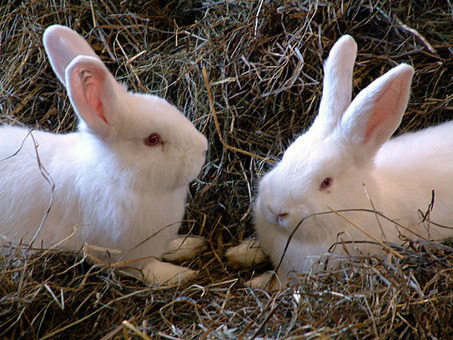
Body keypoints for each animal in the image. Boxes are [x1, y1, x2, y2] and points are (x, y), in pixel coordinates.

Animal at [0, 25, 208, 284]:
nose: (204, 148)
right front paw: (182, 274)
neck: (117, 178)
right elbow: (149, 270)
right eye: (152, 139)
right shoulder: (128, 255)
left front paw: (191, 243)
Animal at [228, 34, 452, 288]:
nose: (277, 211)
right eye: (285, 156)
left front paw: (254, 283)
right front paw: (236, 254)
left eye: (326, 182)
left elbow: (276, 282)